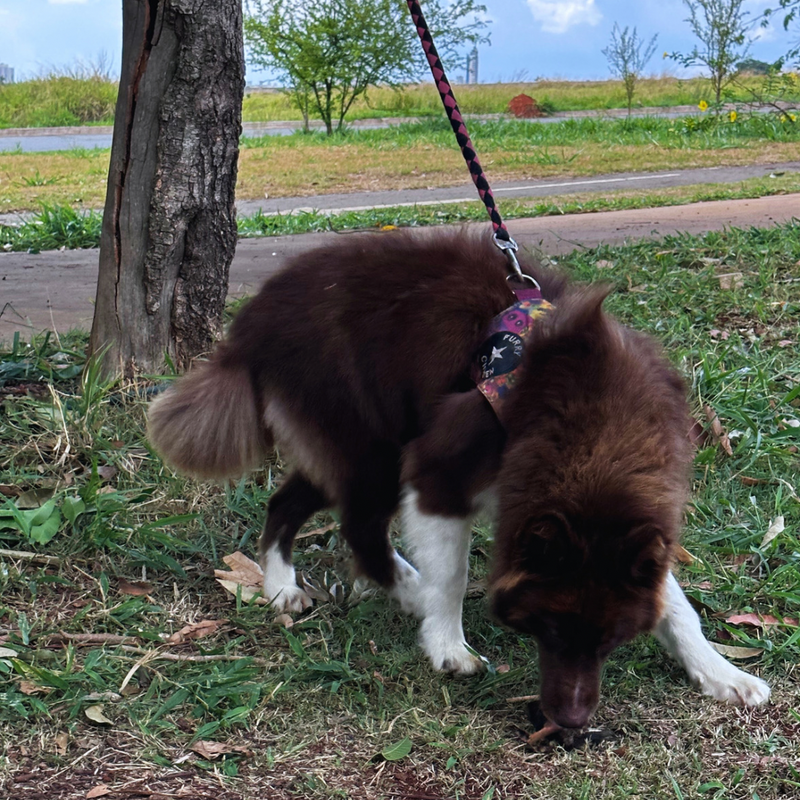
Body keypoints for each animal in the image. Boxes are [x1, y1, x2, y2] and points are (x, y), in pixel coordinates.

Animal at [148, 228, 768, 728]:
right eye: (548, 629)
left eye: (611, 641)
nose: (570, 721)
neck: (590, 425)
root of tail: (251, 322)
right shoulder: (439, 468)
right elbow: (452, 573)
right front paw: (449, 646)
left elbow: (676, 605)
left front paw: (721, 673)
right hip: (372, 439)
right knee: (360, 529)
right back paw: (399, 589)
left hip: (347, 447)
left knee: (286, 503)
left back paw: (283, 586)